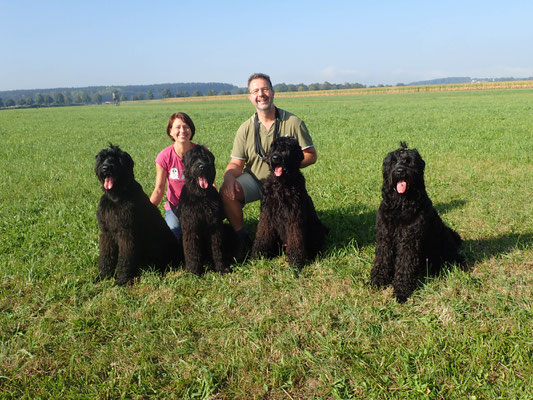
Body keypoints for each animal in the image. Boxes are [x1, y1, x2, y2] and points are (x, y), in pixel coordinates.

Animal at [94, 144, 181, 284]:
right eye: (102, 158)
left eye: (117, 158)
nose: (105, 168)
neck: (116, 196)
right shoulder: (106, 232)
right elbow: (106, 255)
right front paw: (103, 276)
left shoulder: (126, 233)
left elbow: (125, 257)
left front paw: (122, 279)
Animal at [172, 145, 237, 276]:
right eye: (194, 159)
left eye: (206, 158)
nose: (202, 166)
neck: (201, 197)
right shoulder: (191, 227)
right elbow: (192, 249)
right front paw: (194, 271)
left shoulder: (215, 226)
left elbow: (217, 248)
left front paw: (222, 268)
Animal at [250, 135, 328, 268]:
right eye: (273, 148)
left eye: (285, 149)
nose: (275, 158)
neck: (282, 183)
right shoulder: (267, 213)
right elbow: (263, 234)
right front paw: (258, 254)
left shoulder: (294, 215)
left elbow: (295, 238)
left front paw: (296, 261)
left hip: (316, 228)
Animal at [370, 142, 462, 302]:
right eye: (393, 162)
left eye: (409, 161)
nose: (400, 171)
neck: (401, 205)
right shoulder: (384, 236)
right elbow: (382, 258)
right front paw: (378, 280)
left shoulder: (409, 240)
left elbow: (405, 264)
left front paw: (401, 290)